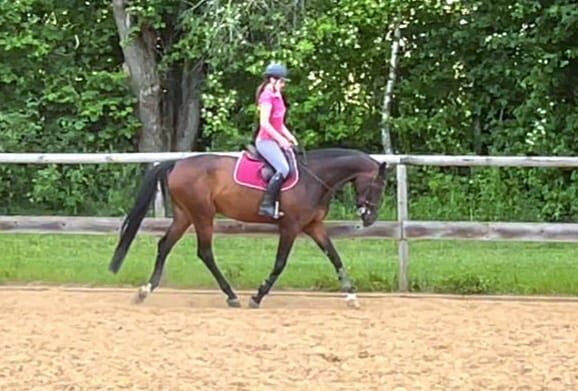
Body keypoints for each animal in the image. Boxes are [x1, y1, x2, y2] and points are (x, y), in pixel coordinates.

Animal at [108, 148, 388, 310]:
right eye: (378, 186)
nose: (370, 218)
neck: (314, 177)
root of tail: (177, 163)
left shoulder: (313, 226)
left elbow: (335, 257)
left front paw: (351, 296)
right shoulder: (290, 227)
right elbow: (280, 264)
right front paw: (257, 296)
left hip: (184, 215)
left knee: (165, 244)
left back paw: (145, 291)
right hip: (202, 215)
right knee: (204, 252)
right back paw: (232, 296)